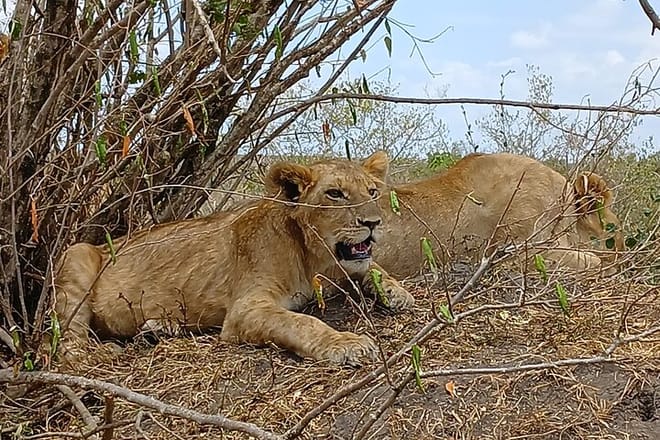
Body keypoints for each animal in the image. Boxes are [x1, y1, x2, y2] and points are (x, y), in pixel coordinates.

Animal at [53, 151, 414, 366]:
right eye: (335, 194)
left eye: (371, 191)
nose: (373, 222)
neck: (313, 256)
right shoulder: (245, 310)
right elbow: (301, 322)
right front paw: (347, 343)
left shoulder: (341, 266)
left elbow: (372, 267)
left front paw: (397, 292)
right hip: (77, 255)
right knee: (65, 343)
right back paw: (102, 351)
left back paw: (159, 328)